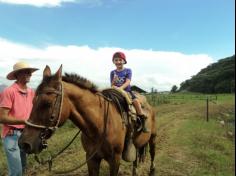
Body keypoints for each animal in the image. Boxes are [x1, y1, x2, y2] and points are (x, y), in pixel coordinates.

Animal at [18, 65, 157, 176]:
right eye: (32, 101)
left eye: (47, 104)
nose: (24, 143)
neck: (100, 125)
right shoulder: (91, 159)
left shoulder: (115, 159)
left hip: (153, 138)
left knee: (152, 154)